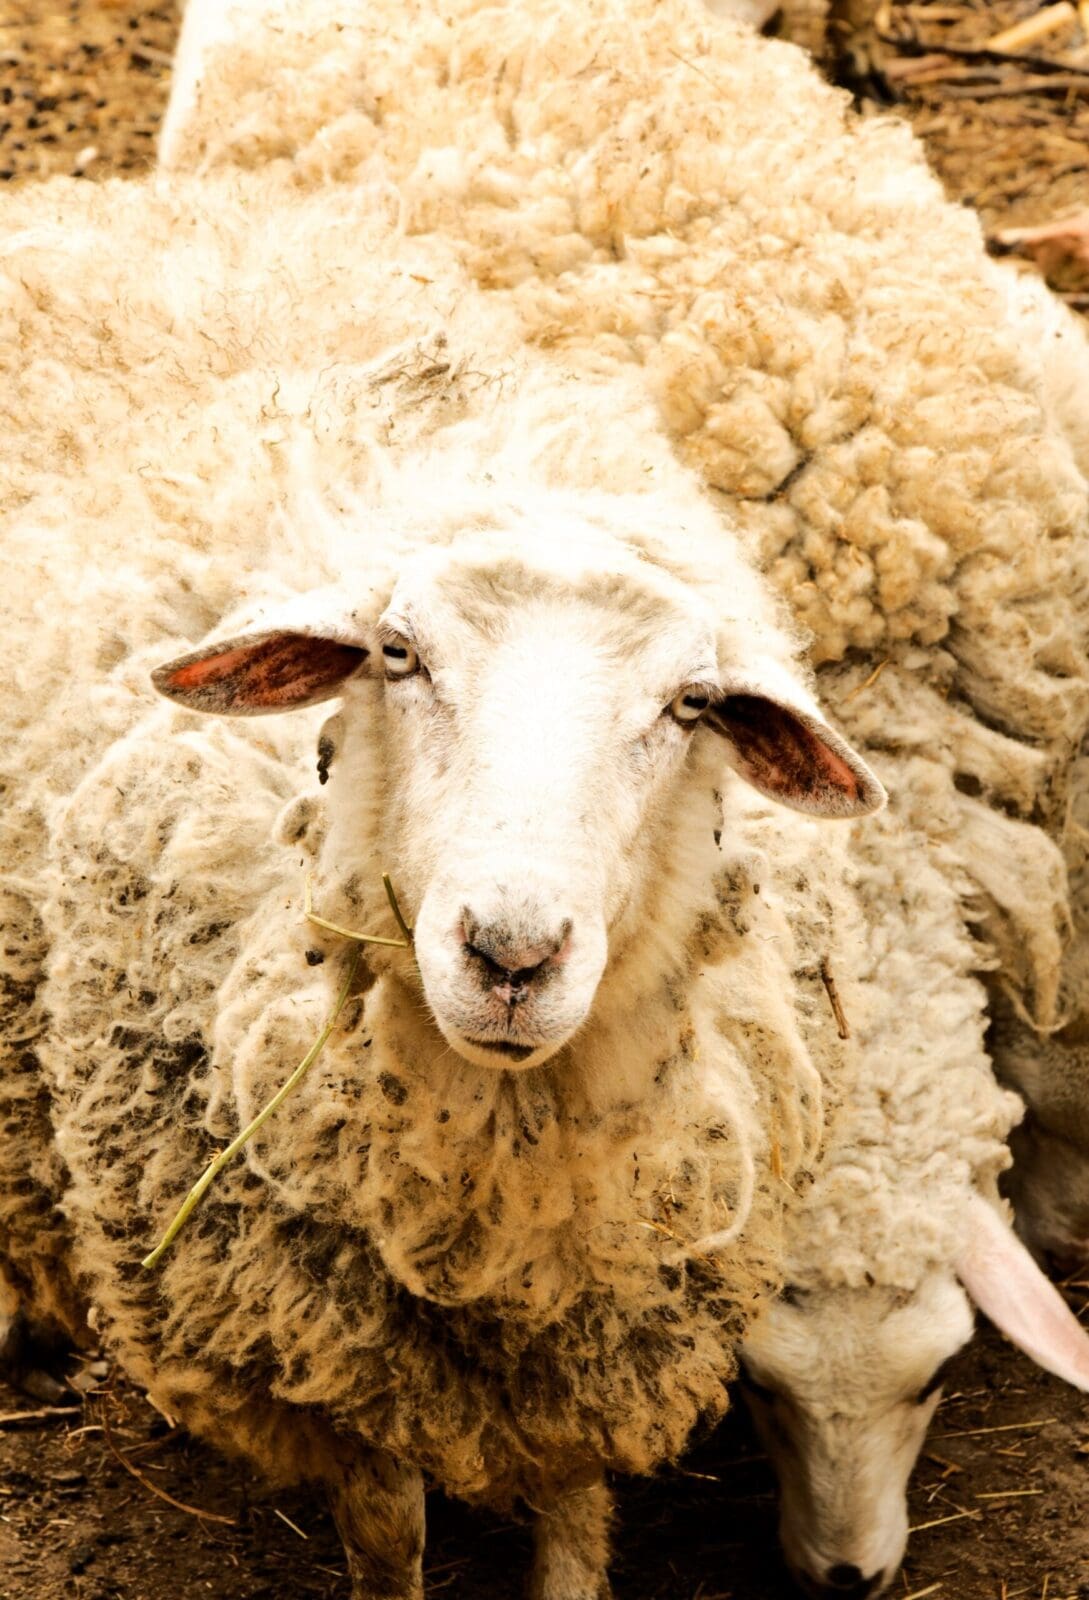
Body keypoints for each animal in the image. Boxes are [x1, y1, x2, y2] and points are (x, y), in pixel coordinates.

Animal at [0, 159, 888, 1596]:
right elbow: (389, 1533)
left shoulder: (594, 1346)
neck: (506, 1202)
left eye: (690, 705)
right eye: (399, 654)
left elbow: (575, 1521)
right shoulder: (339, 1366)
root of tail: (92, 199)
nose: (511, 953)